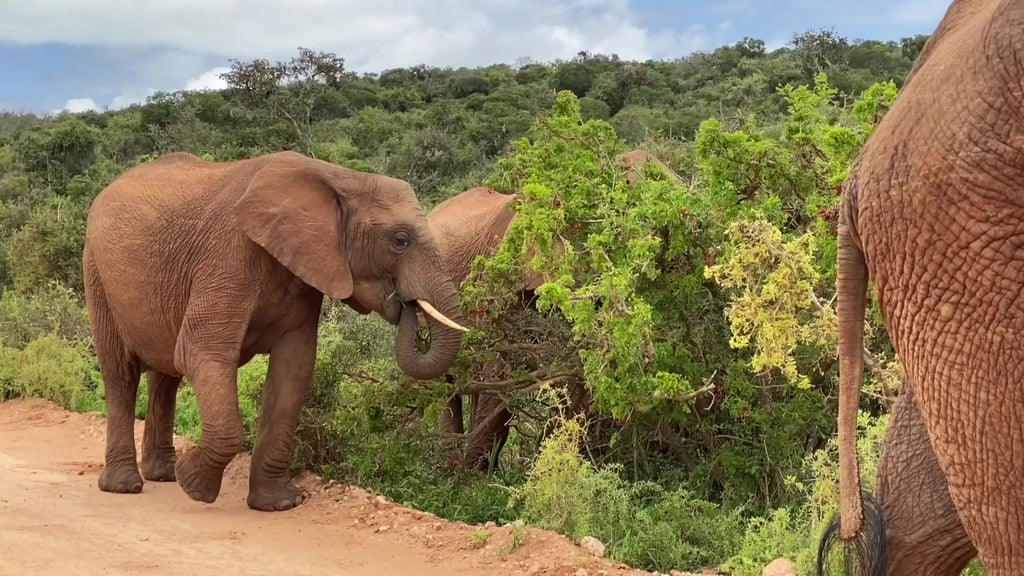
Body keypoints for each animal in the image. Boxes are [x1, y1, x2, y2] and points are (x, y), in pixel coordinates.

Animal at [83, 150, 469, 512]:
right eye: (400, 240)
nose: (405, 303)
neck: (337, 176)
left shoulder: (305, 271)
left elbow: (293, 369)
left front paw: (279, 504)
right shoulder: (228, 255)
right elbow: (201, 351)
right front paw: (193, 485)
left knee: (166, 376)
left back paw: (162, 474)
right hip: (96, 273)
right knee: (122, 374)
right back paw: (126, 485)